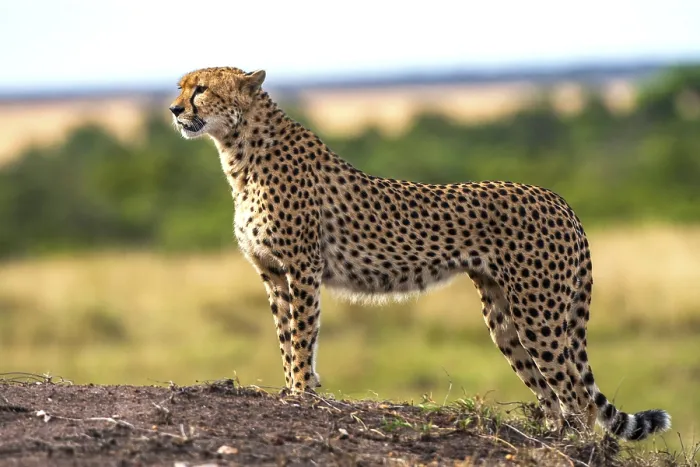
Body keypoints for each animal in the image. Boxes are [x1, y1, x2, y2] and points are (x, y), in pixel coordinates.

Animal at [169, 66, 670, 441]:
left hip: (539, 314)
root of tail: (556, 198)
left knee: (579, 397)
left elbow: (301, 338)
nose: (173, 110)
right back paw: (550, 436)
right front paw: (295, 388)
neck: (240, 151)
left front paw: (300, 394)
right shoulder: (273, 274)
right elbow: (285, 337)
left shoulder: (302, 269)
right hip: (505, 317)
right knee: (553, 394)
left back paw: (577, 446)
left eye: (201, 89)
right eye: (180, 86)